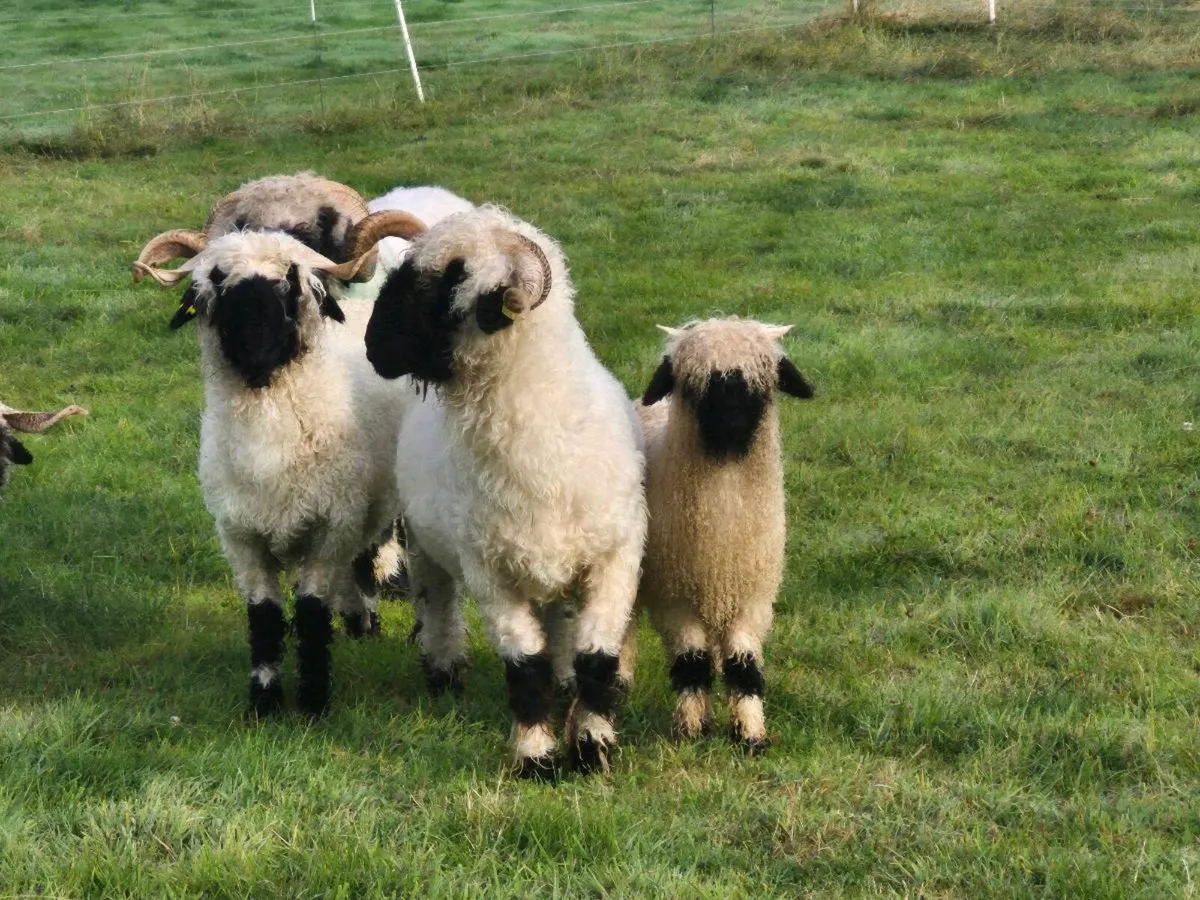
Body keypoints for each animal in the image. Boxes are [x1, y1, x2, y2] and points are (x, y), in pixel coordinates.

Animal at [132, 201, 426, 717]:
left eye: (292, 281)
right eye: (216, 281)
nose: (255, 350)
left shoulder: (328, 526)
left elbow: (310, 612)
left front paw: (312, 701)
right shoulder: (241, 535)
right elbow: (264, 616)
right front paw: (265, 702)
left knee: (370, 556)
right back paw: (358, 623)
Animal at [364, 205, 647, 778]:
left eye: (447, 285)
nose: (372, 346)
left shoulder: (616, 558)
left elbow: (597, 660)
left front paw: (592, 749)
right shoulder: (489, 571)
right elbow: (524, 666)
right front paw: (537, 758)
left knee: (558, 623)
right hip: (427, 544)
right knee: (438, 604)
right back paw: (444, 673)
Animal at [627, 318, 814, 753]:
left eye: (759, 385)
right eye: (695, 385)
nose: (730, 426)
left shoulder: (752, 597)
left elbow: (742, 665)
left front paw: (751, 735)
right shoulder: (674, 597)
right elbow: (691, 663)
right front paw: (691, 731)